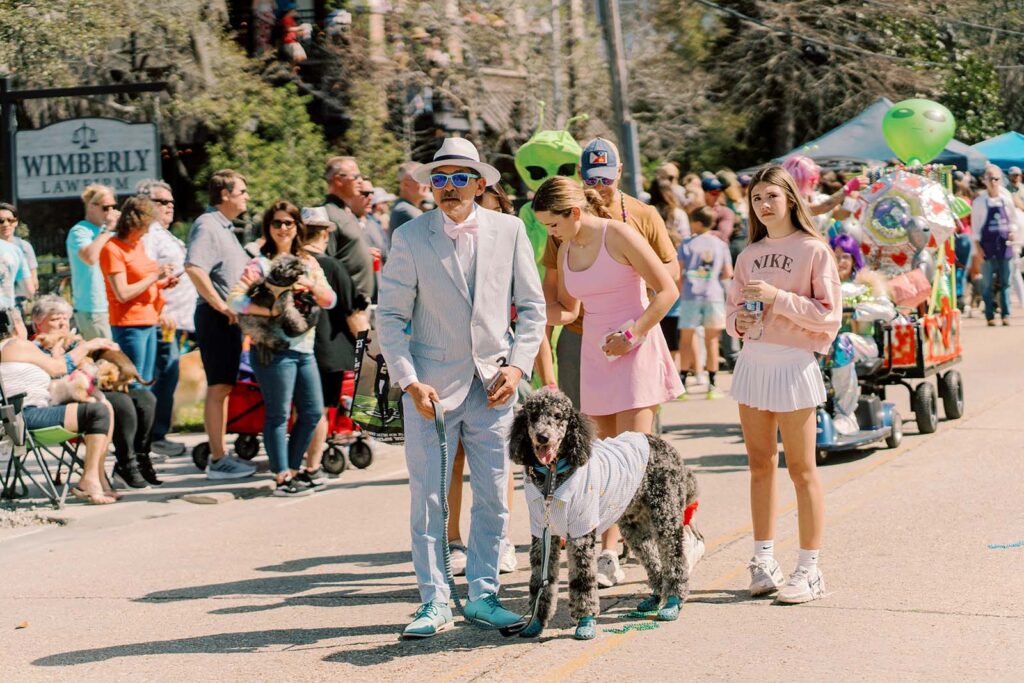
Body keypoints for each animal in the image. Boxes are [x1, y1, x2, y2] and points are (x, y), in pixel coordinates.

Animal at [507, 389, 700, 643]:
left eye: (558, 416)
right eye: (533, 416)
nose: (542, 437)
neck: (553, 475)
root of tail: (666, 446)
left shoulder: (580, 533)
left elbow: (582, 580)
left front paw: (585, 622)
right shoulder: (542, 534)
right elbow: (540, 581)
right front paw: (536, 622)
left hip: (665, 515)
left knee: (675, 558)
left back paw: (673, 602)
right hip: (634, 526)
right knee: (653, 559)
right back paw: (657, 598)